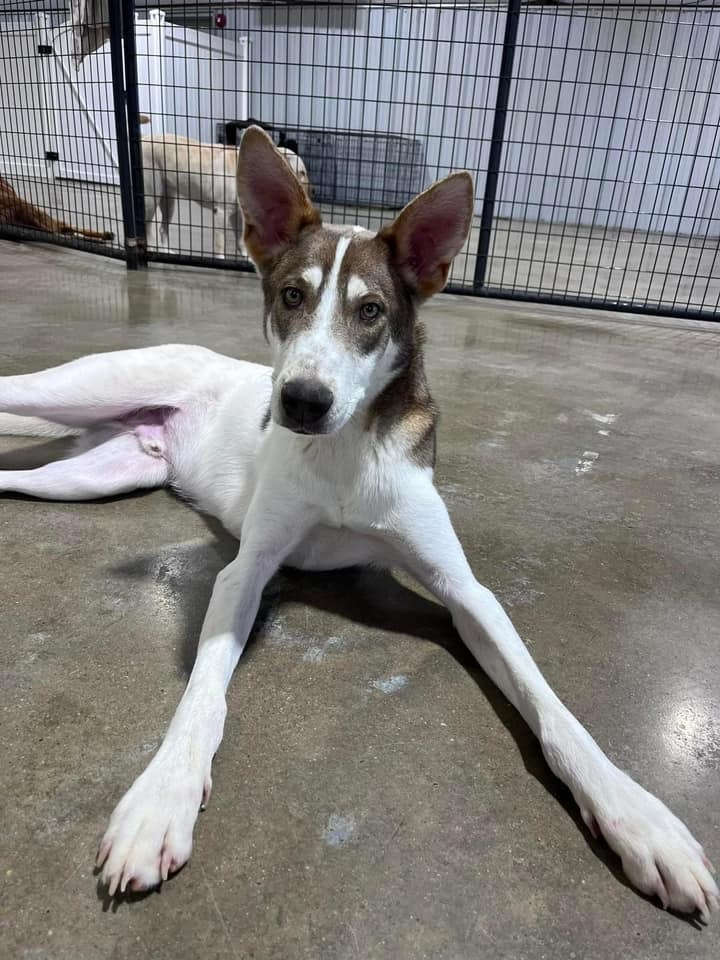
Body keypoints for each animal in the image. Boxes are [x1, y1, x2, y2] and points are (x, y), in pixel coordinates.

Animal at [141, 122, 310, 260]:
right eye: (302, 172)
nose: (311, 193)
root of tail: (144, 139)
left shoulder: (236, 214)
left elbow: (240, 238)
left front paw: (246, 256)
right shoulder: (221, 212)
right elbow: (220, 241)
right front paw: (221, 258)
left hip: (168, 201)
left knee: (162, 228)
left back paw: (166, 252)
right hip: (150, 199)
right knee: (148, 226)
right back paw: (151, 249)